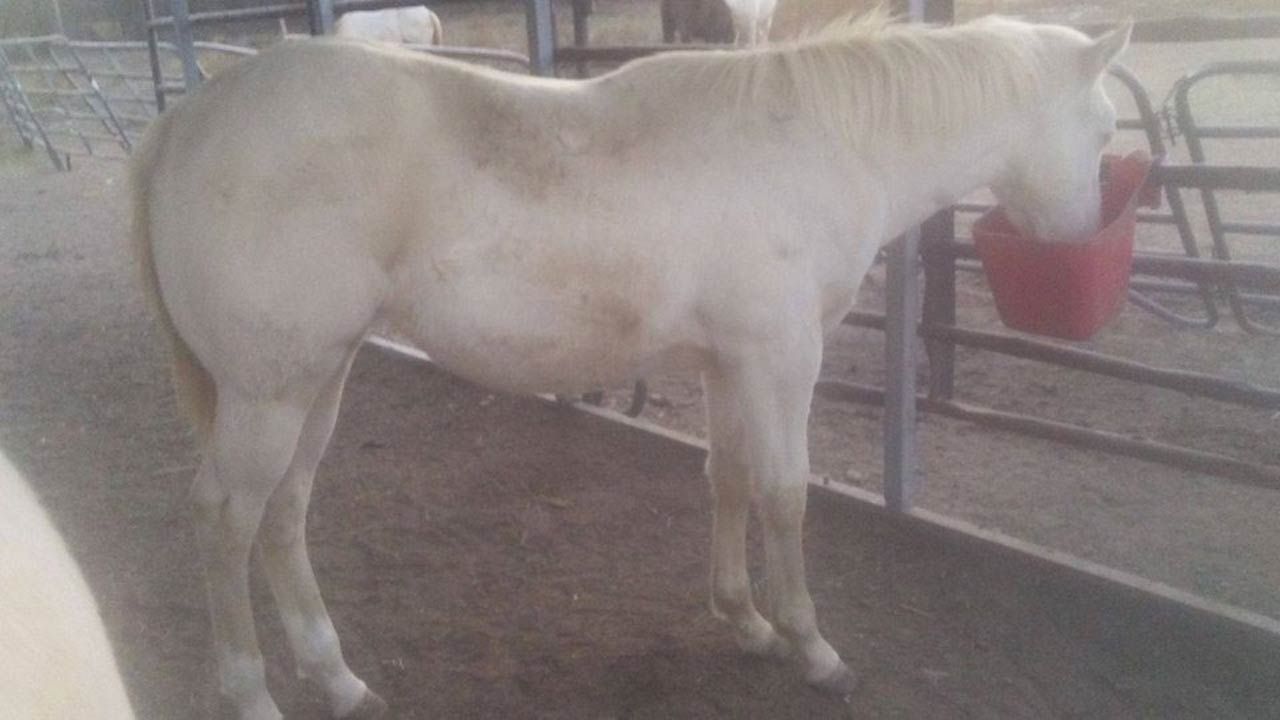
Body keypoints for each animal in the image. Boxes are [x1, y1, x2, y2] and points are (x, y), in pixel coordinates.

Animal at [130, 14, 1129, 719]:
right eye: (1105, 122)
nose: (1081, 231)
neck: (815, 141)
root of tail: (189, 118)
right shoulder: (781, 360)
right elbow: (784, 495)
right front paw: (813, 651)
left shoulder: (731, 363)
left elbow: (727, 479)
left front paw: (745, 622)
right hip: (269, 394)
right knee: (225, 519)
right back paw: (253, 694)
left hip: (318, 379)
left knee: (283, 514)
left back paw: (338, 681)